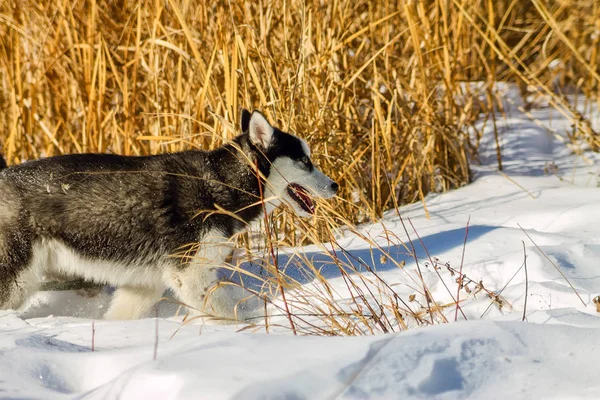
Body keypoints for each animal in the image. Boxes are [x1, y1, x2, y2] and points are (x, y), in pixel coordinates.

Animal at [0, 110, 338, 322]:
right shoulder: (189, 277)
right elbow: (229, 316)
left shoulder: (144, 285)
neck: (219, 182)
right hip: (15, 281)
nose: (336, 185)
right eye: (305, 161)